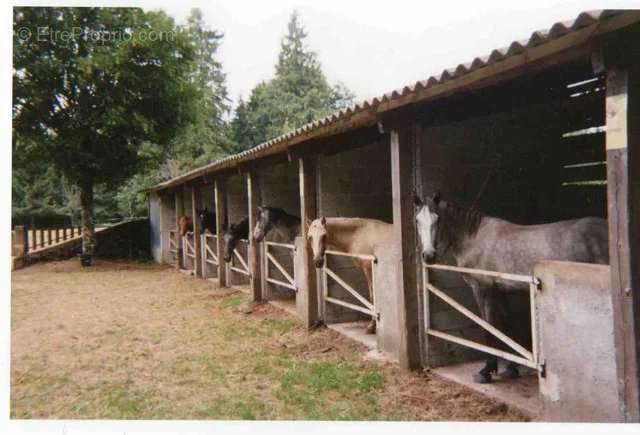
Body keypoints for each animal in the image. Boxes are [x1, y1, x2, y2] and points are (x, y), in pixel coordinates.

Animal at [412, 192, 608, 384]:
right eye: (417, 220)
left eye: (438, 219)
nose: (428, 256)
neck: (474, 239)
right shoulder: (500, 291)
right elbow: (506, 325)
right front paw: (511, 369)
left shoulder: (483, 290)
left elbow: (489, 328)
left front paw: (486, 371)